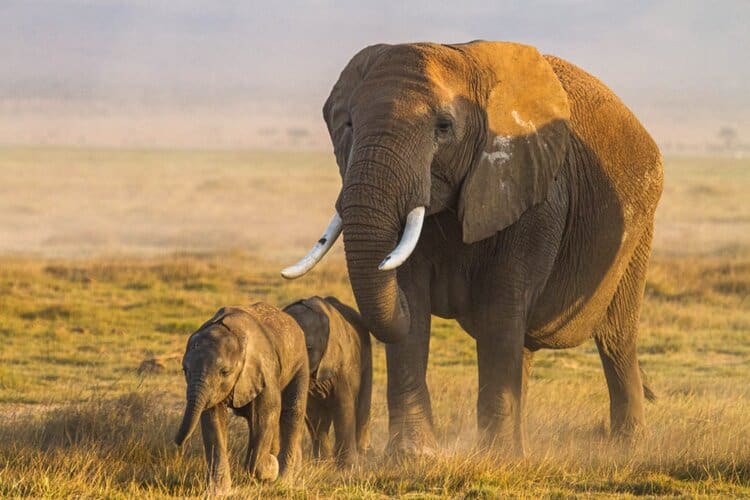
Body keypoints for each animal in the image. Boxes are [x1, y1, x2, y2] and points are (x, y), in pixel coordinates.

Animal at [174, 303, 308, 493]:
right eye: (185, 370)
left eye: (225, 372)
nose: (178, 442)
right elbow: (213, 419)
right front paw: (217, 492)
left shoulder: (264, 369)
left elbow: (268, 413)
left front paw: (271, 468)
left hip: (300, 362)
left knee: (291, 413)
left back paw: (284, 481)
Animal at [283, 296, 372, 465]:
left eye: (308, 348)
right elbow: (314, 414)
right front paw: (324, 464)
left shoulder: (342, 365)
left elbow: (343, 406)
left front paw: (348, 467)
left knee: (362, 406)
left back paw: (363, 456)